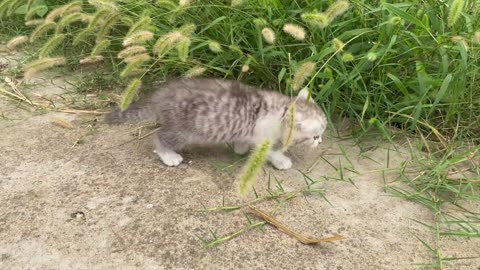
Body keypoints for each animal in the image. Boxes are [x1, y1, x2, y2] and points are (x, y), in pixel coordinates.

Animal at [105, 78, 328, 170]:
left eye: (321, 134)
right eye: (315, 136)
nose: (320, 142)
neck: (282, 110)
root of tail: (162, 97)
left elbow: (243, 139)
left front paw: (240, 148)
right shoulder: (263, 136)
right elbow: (270, 151)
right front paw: (282, 161)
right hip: (183, 130)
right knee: (160, 137)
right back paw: (169, 156)